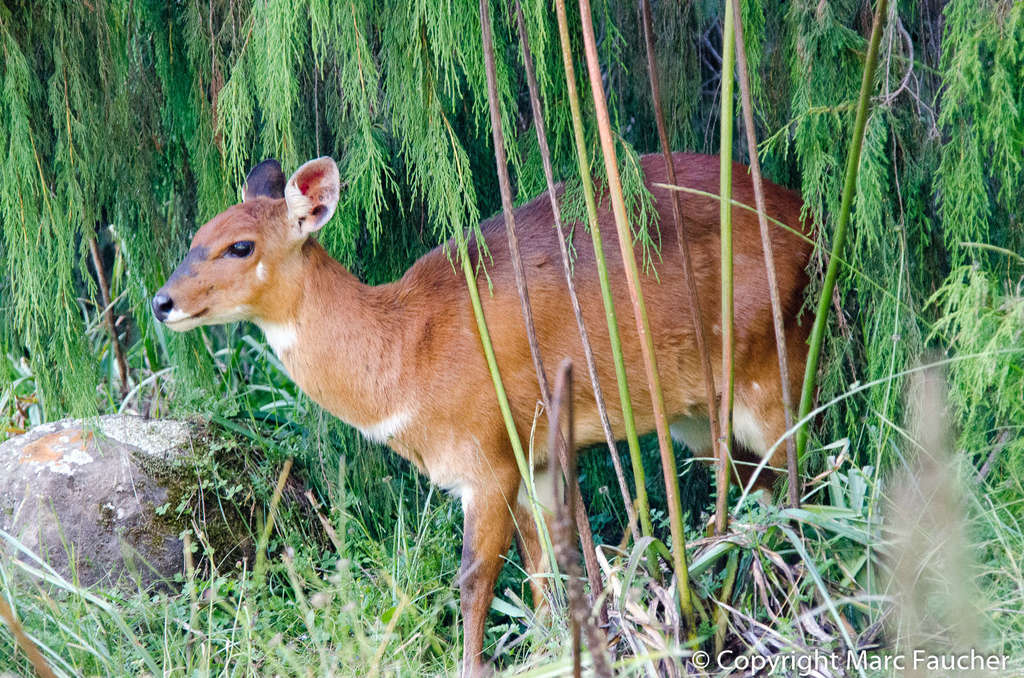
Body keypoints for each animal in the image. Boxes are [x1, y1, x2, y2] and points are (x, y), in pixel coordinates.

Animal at [151, 152, 811, 675]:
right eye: (197, 235)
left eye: (241, 246)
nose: (161, 303)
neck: (409, 351)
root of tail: (809, 219)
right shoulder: (535, 456)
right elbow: (545, 570)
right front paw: (548, 653)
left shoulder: (488, 461)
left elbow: (474, 579)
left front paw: (474, 664)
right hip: (698, 415)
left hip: (772, 372)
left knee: (801, 481)